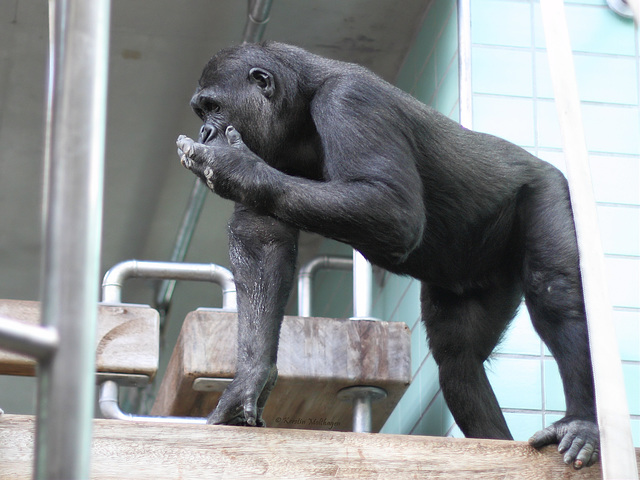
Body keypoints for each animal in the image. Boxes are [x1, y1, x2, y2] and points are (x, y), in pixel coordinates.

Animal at [176, 41, 600, 468]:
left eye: (213, 107)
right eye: (202, 111)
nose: (205, 130)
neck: (298, 106)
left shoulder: (351, 102)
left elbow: (391, 206)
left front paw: (235, 166)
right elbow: (261, 238)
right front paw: (250, 379)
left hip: (548, 188)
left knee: (556, 295)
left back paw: (580, 423)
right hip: (480, 275)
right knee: (457, 359)